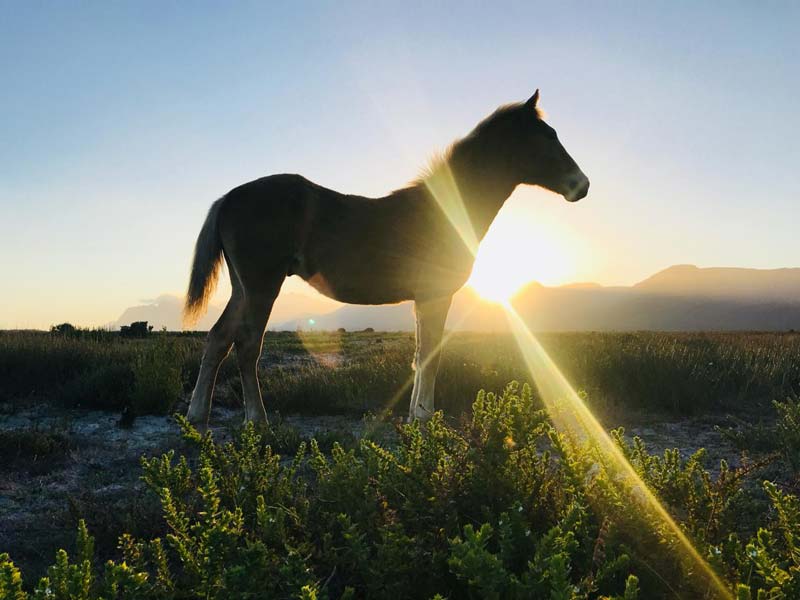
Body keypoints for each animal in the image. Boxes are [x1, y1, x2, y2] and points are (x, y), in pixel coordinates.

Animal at [184, 89, 592, 426]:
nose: (582, 185)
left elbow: (419, 352)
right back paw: (258, 420)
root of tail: (228, 198)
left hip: (243, 288)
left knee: (219, 338)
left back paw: (197, 416)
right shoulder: (436, 294)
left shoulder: (422, 298)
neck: (443, 211)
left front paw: (414, 415)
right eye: (548, 136)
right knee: (247, 345)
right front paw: (425, 417)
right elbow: (430, 354)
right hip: (262, 286)